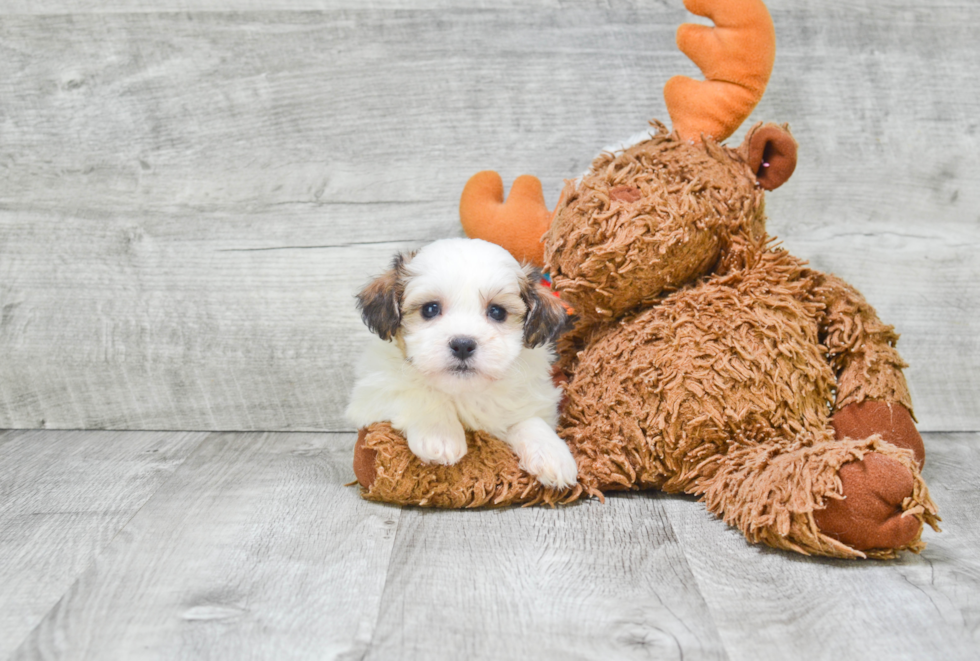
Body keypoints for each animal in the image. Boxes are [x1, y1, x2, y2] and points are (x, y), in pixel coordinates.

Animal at [346, 236, 580, 484]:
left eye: (497, 312)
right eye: (430, 309)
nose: (463, 345)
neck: (462, 391)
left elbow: (528, 418)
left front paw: (551, 452)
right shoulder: (372, 393)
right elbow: (418, 392)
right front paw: (439, 434)